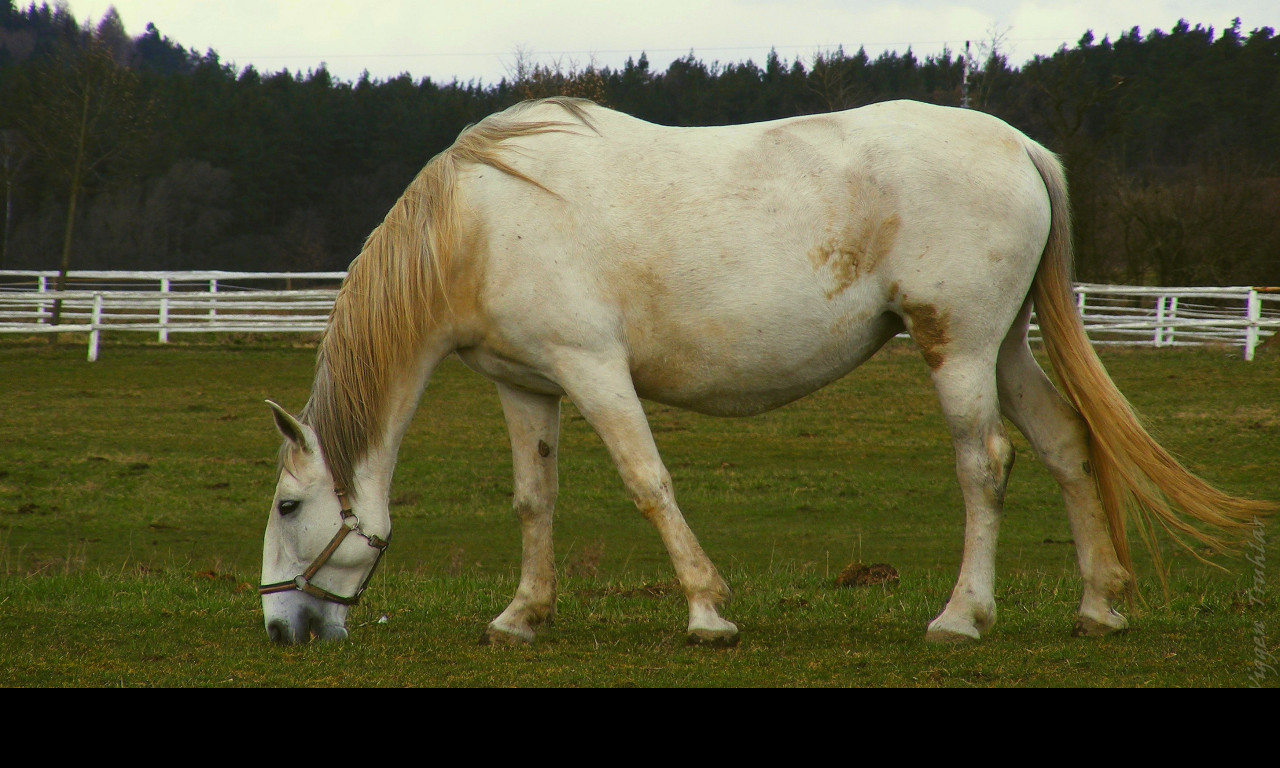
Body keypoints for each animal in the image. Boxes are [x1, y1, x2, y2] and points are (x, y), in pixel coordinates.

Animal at [259, 99, 1269, 645]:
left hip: (960, 348)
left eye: (287, 505)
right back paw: (1099, 607)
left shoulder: (593, 368)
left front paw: (708, 612)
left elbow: (647, 481)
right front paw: (522, 617)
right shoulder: (528, 384)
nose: (281, 626)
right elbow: (534, 502)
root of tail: (1018, 144)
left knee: (984, 464)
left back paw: (960, 616)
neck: (479, 221)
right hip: (1006, 346)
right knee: (1064, 446)